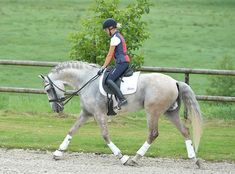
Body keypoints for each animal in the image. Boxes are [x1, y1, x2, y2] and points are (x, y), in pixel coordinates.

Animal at [40, 60, 202, 166]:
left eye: (47, 89)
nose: (56, 109)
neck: (86, 81)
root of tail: (174, 81)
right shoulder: (86, 113)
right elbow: (72, 130)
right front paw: (58, 152)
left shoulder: (99, 114)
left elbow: (105, 135)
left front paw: (122, 157)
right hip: (170, 112)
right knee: (185, 131)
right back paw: (194, 159)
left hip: (153, 111)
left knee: (153, 133)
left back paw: (135, 159)